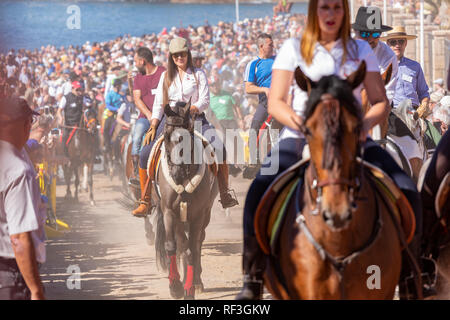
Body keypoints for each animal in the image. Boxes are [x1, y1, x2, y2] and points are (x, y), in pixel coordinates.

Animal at [154, 100, 219, 300]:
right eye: (166, 135)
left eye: (188, 136)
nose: (177, 173)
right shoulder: (170, 211)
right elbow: (172, 245)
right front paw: (175, 286)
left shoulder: (198, 214)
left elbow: (192, 249)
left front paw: (189, 288)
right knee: (182, 244)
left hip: (205, 213)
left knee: (197, 243)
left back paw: (196, 281)